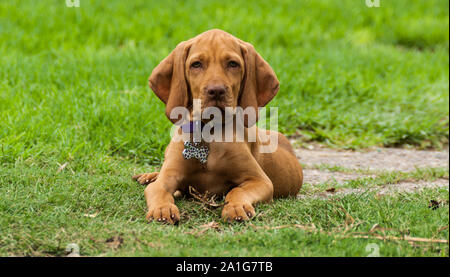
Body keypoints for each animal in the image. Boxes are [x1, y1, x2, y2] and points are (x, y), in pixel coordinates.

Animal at [133, 29, 302, 223]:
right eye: (196, 64)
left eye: (233, 64)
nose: (216, 91)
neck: (209, 132)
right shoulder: (166, 177)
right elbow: (158, 189)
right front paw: (162, 209)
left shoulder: (260, 181)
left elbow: (236, 190)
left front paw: (236, 207)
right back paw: (148, 176)